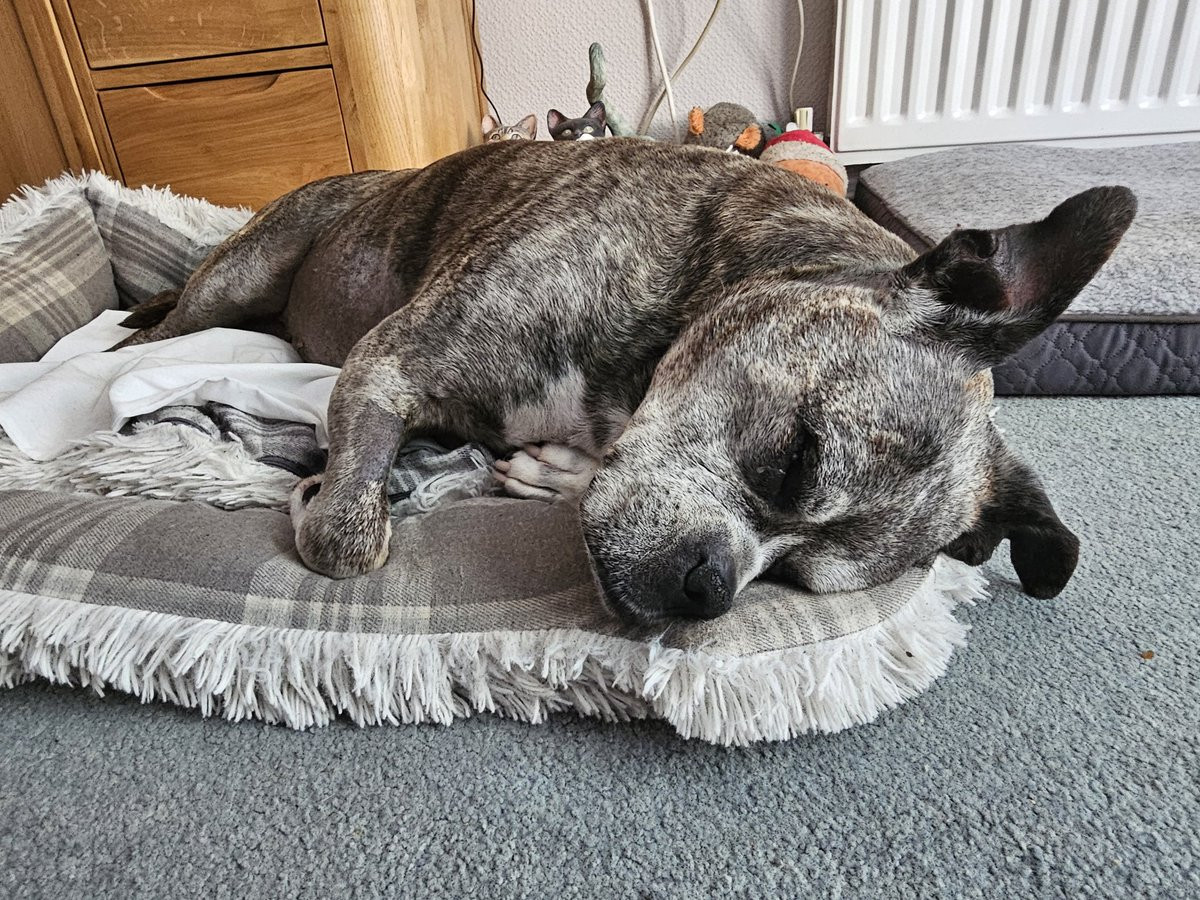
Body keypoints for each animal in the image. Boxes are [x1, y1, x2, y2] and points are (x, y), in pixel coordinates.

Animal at [115, 140, 1135, 624]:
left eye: (793, 578)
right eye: (794, 459)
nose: (707, 586)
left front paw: (551, 473)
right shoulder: (389, 363)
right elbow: (346, 541)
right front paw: (326, 498)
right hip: (241, 277)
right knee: (163, 329)